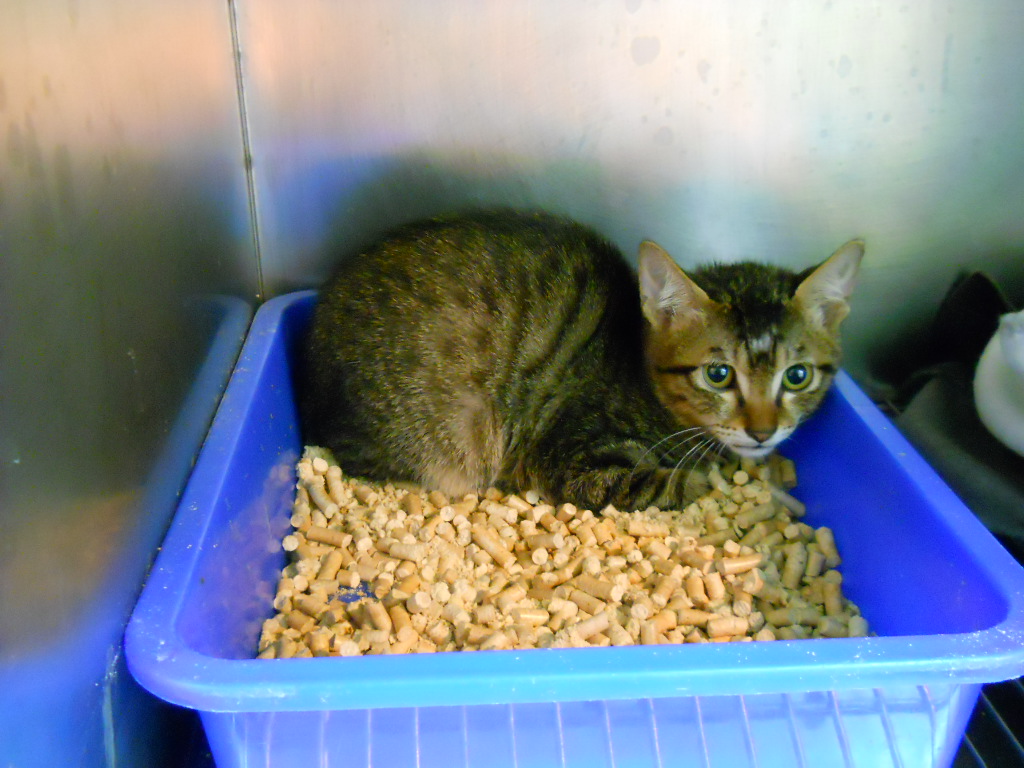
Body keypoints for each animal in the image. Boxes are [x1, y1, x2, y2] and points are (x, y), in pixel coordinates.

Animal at [302, 209, 863, 511]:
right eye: (719, 374)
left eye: (797, 376)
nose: (763, 432)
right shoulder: (572, 461)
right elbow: (668, 480)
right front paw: (718, 479)